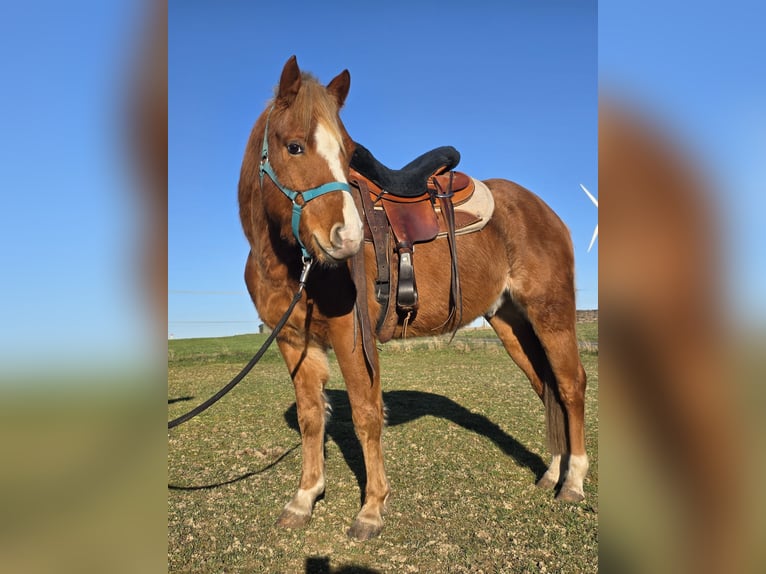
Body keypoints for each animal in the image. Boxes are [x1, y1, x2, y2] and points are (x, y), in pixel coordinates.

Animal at [238, 56, 588, 540]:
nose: (348, 238)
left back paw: (573, 482)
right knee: (546, 385)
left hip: (551, 315)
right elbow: (312, 417)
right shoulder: (294, 342)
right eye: (294, 147)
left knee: (571, 386)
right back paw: (552, 472)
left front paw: (371, 510)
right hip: (512, 323)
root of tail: (544, 210)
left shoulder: (352, 337)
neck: (289, 261)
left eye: (347, 154)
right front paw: (304, 499)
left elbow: (367, 415)